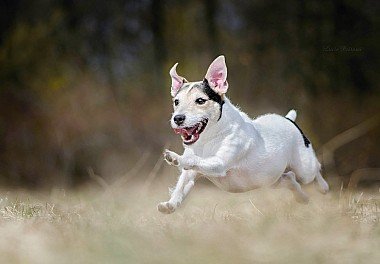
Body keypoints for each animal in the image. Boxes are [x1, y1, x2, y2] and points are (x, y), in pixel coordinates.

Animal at [157, 55, 330, 214]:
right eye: (176, 102)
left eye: (200, 101)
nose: (177, 118)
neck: (209, 138)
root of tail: (289, 120)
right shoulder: (191, 172)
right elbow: (182, 184)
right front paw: (171, 204)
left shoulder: (219, 163)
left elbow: (192, 160)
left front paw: (174, 157)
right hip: (271, 180)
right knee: (290, 179)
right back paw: (302, 197)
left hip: (304, 168)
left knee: (314, 169)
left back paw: (323, 187)